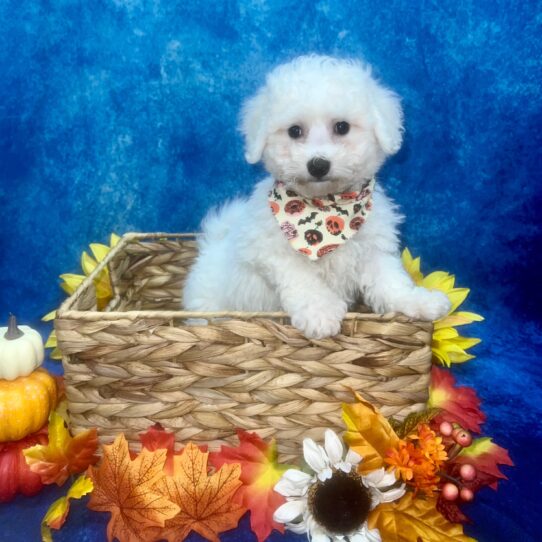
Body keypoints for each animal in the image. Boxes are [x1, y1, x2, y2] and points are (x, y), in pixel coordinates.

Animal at [185, 53, 452, 338]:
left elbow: (390, 281)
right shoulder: (266, 249)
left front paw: (417, 301)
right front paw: (320, 312)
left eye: (342, 127)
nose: (318, 165)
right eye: (294, 131)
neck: (326, 206)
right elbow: (301, 276)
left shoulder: (373, 250)